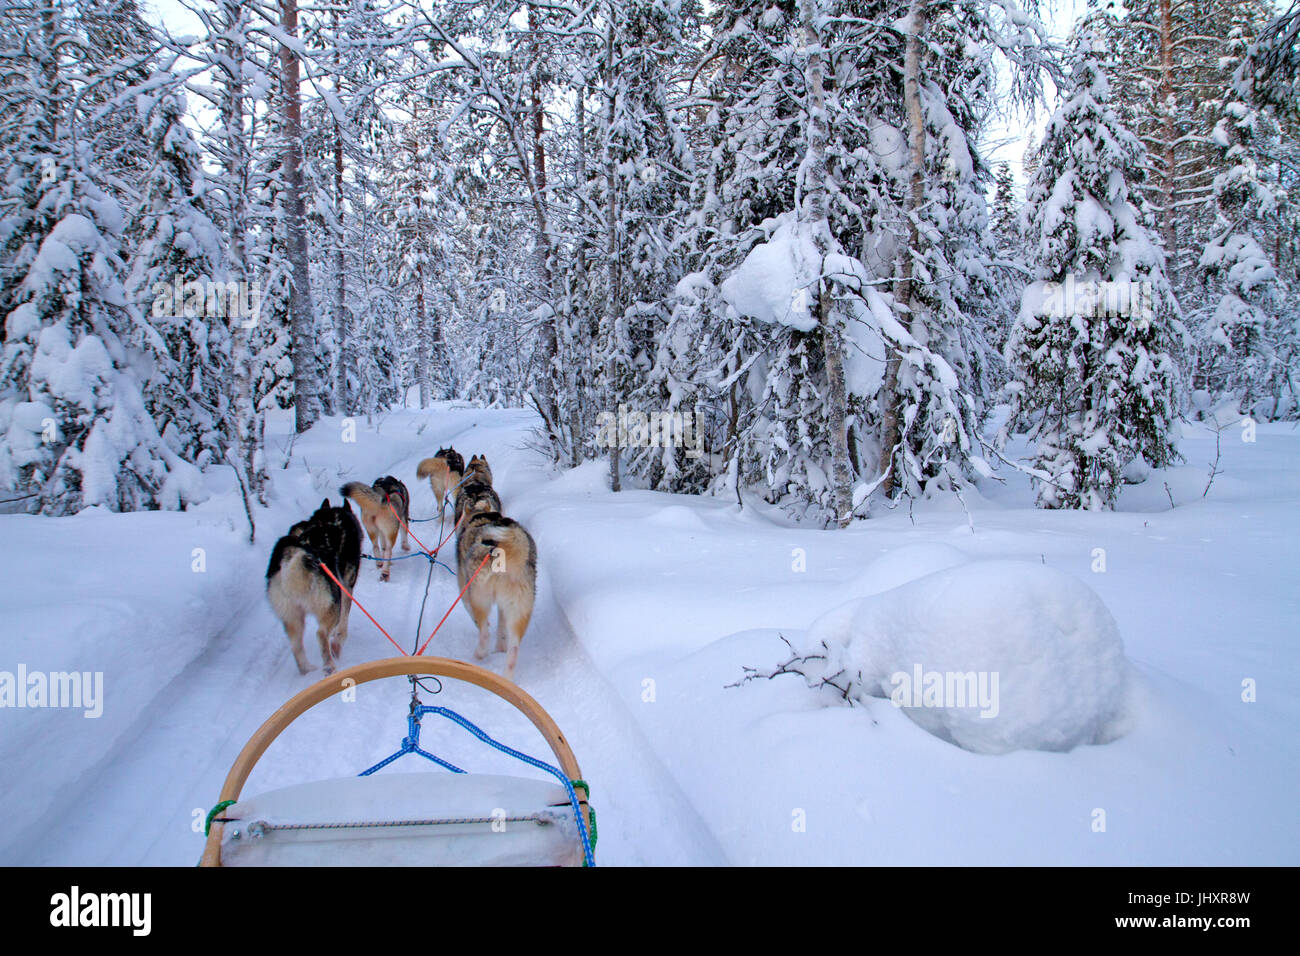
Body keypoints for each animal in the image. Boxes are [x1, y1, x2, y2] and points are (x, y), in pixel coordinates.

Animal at [266, 496, 364, 676]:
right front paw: (338, 641)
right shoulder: (346, 588)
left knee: (296, 646)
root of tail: (296, 552)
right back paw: (330, 665)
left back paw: (307, 669)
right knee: (321, 633)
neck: (330, 519)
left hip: (292, 617)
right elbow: (343, 624)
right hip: (330, 605)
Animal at [457, 515, 538, 681]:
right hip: (519, 609)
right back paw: (506, 677)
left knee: (484, 634)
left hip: (479, 597)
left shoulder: (465, 591)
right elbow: (501, 627)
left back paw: (479, 655)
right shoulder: (503, 606)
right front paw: (500, 648)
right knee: (513, 649)